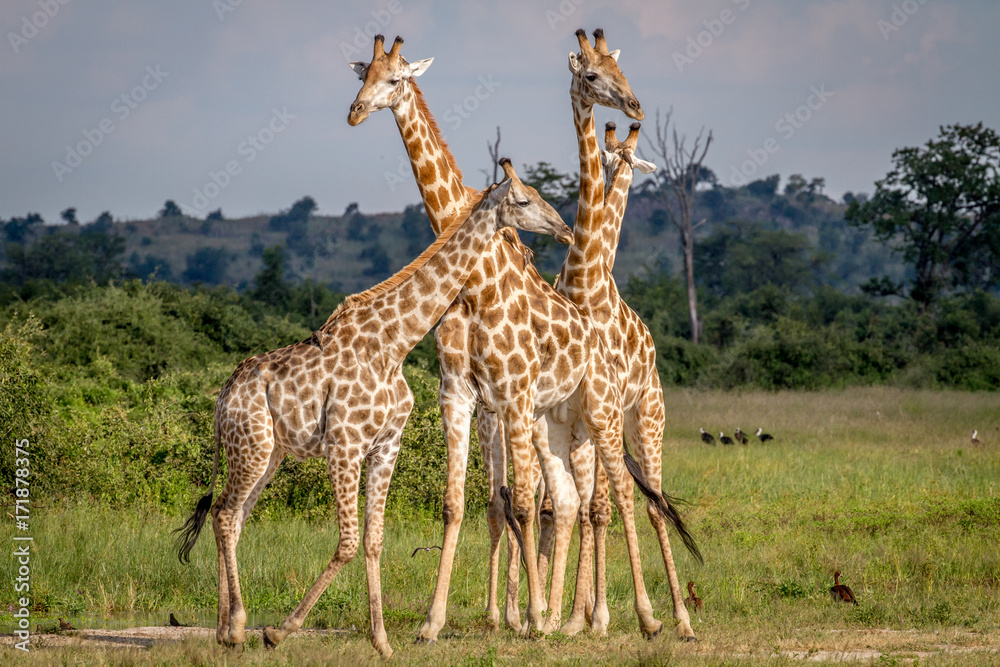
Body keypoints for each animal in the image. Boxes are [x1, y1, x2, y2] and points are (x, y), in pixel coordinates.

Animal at [173, 164, 571, 658]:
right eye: (522, 200)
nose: (563, 228)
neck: (393, 344)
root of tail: (222, 396)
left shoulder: (386, 446)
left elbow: (374, 540)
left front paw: (381, 641)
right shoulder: (344, 444)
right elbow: (347, 542)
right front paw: (279, 631)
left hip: (268, 454)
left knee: (232, 516)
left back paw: (225, 630)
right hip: (251, 447)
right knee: (226, 515)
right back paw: (241, 625)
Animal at [416, 158, 664, 641]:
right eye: (523, 199)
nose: (564, 228)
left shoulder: (513, 396)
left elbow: (531, 506)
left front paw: (538, 615)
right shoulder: (459, 396)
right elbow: (464, 502)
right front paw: (434, 621)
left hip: (623, 418)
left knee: (628, 499)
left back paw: (654, 618)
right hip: (554, 428)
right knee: (567, 503)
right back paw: (561, 617)